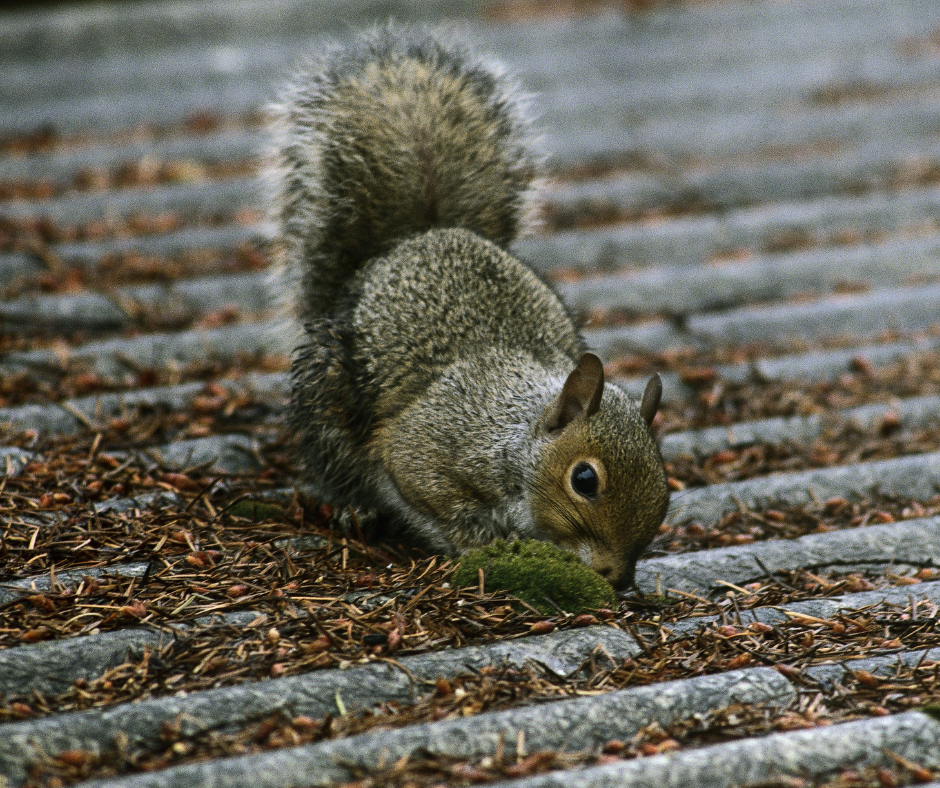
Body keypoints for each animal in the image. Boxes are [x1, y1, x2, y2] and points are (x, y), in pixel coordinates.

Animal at [270, 26, 668, 592]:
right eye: (585, 479)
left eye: (664, 487)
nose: (618, 577)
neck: (514, 436)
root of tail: (415, 236)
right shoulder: (427, 445)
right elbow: (425, 491)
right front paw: (483, 541)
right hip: (328, 391)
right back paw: (352, 507)